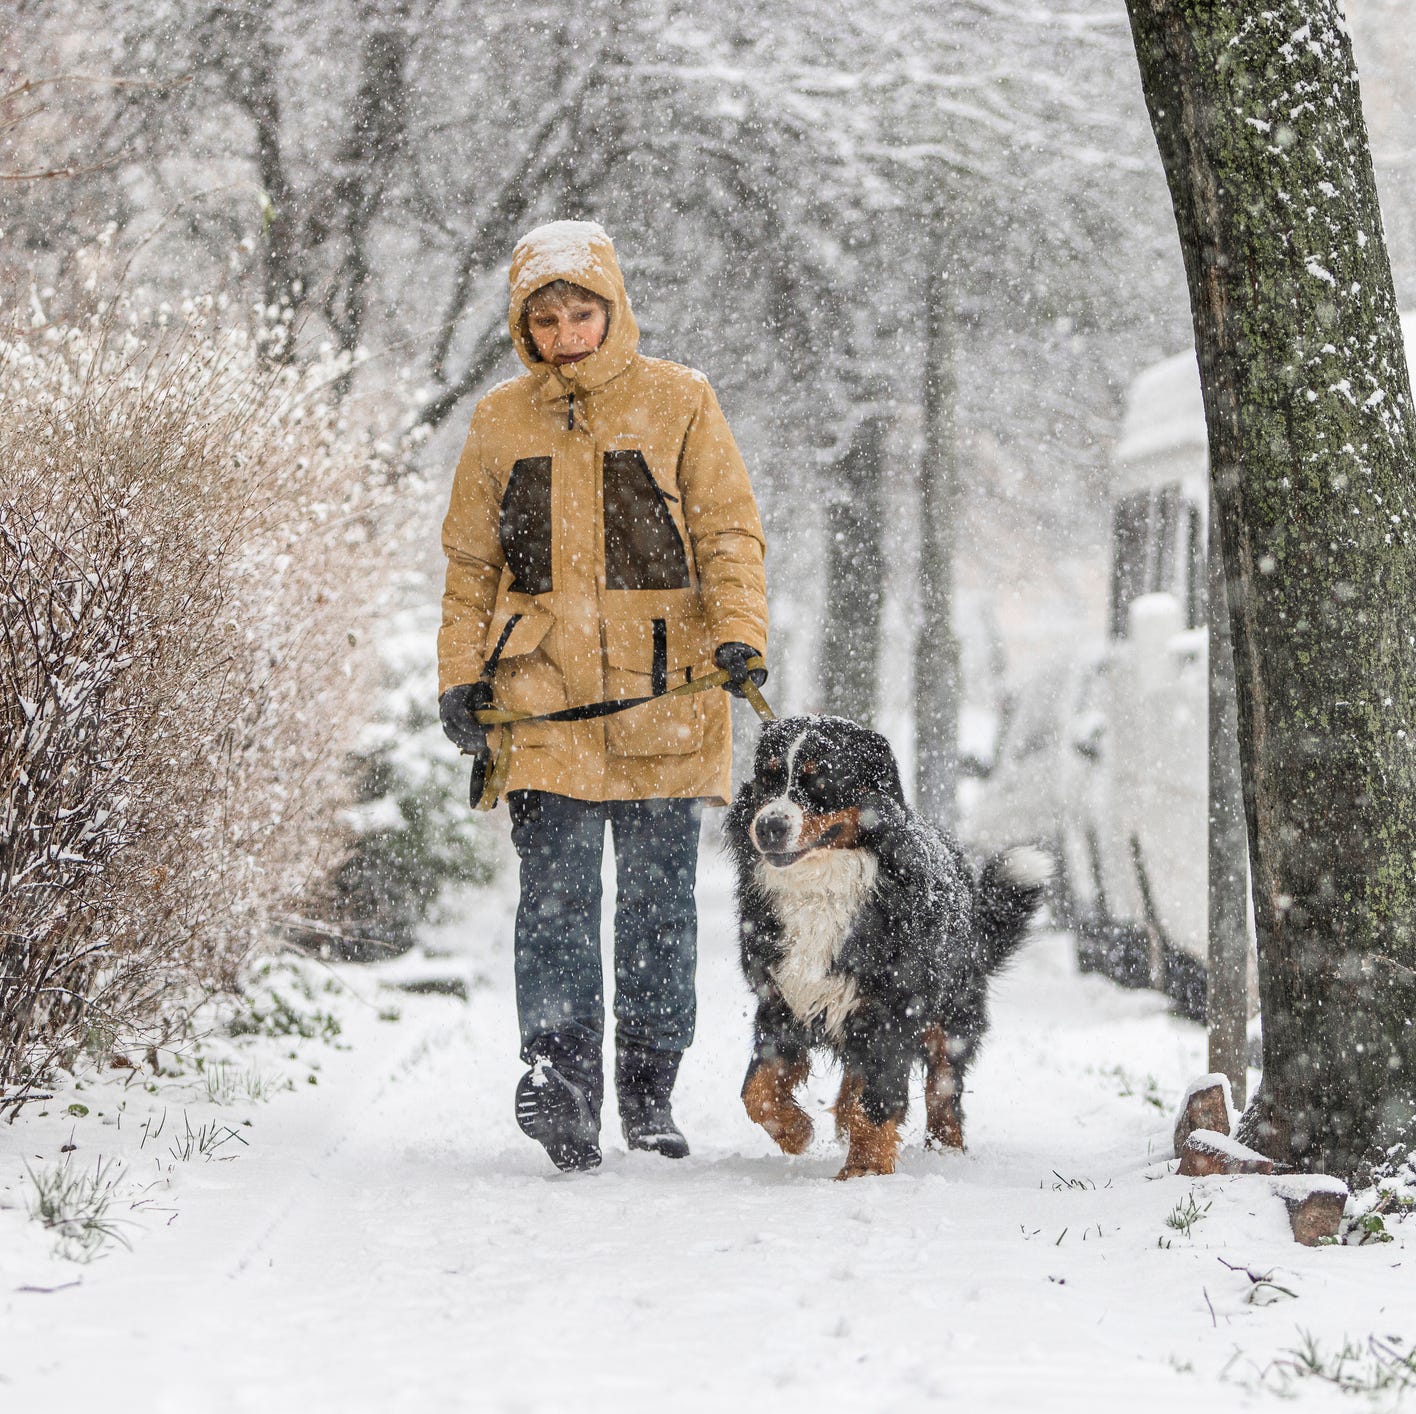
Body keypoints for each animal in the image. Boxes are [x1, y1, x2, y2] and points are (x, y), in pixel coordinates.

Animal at [724, 713, 1047, 1177]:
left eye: (820, 780)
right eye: (768, 777)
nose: (769, 826)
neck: (821, 890)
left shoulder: (893, 1006)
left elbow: (878, 1099)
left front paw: (864, 1171)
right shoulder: (780, 999)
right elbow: (757, 1091)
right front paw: (796, 1132)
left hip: (950, 1010)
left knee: (943, 1084)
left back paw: (945, 1148)